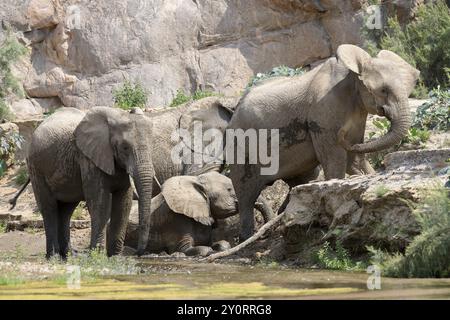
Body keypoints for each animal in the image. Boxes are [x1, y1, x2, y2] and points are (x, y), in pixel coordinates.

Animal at [27, 107, 156, 258]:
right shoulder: (88, 158)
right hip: (36, 168)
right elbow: (100, 203)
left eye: (152, 145)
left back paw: (69, 255)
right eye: (125, 147)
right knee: (49, 208)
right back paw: (54, 257)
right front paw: (98, 257)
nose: (137, 253)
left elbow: (123, 204)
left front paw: (115, 258)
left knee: (66, 210)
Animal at [229, 45, 422, 240]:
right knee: (246, 196)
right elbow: (336, 160)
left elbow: (354, 160)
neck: (352, 77)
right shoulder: (323, 115)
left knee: (301, 180)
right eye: (383, 90)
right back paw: (247, 237)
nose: (342, 135)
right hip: (240, 146)